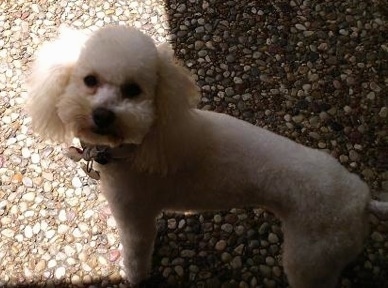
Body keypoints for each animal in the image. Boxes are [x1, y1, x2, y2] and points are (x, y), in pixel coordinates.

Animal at [26, 25, 388, 286]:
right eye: (89, 80)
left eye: (133, 90)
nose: (101, 115)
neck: (138, 146)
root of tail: (361, 199)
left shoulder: (134, 218)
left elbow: (137, 256)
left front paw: (133, 277)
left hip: (309, 259)